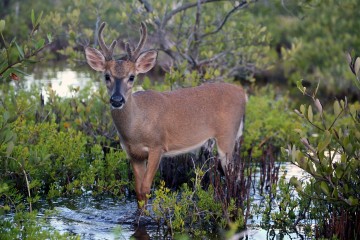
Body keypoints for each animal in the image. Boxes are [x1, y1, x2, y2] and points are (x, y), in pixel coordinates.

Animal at [85, 22, 248, 208]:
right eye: (106, 76)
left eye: (132, 77)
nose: (117, 99)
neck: (136, 127)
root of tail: (243, 93)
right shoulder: (133, 153)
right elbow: (138, 191)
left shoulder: (158, 146)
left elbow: (146, 189)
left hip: (227, 135)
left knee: (233, 174)